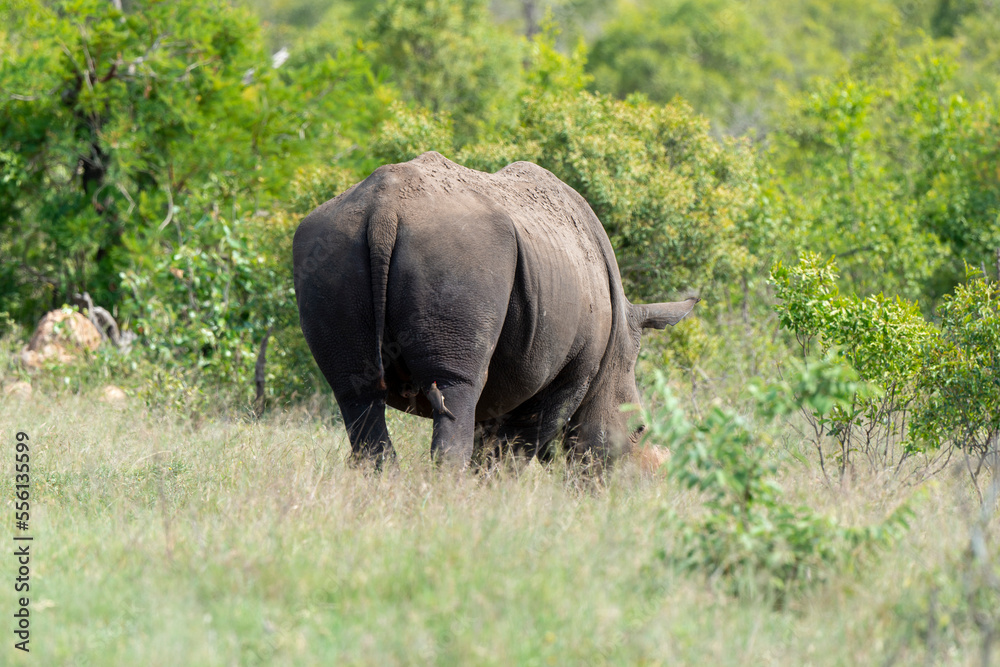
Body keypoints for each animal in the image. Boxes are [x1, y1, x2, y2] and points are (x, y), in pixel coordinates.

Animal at [293, 152, 698, 468]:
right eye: (639, 430)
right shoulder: (574, 371)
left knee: (355, 390)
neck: (618, 343)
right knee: (458, 387)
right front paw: (497, 492)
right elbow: (521, 441)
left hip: (329, 244)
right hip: (462, 253)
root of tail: (385, 209)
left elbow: (494, 437)